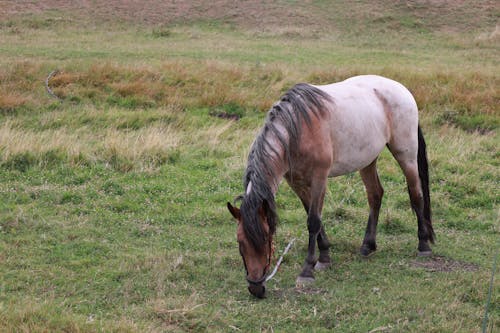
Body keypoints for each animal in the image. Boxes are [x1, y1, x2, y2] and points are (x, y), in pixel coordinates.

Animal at [227, 74, 434, 296]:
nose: (256, 287)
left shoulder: (319, 178)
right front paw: (324, 257)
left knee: (416, 194)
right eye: (240, 242)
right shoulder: (296, 183)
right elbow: (314, 217)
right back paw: (367, 246)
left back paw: (423, 245)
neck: (296, 131)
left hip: (406, 155)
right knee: (375, 195)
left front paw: (307, 270)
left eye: (266, 238)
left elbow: (313, 221)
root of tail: (402, 90)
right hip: (368, 160)